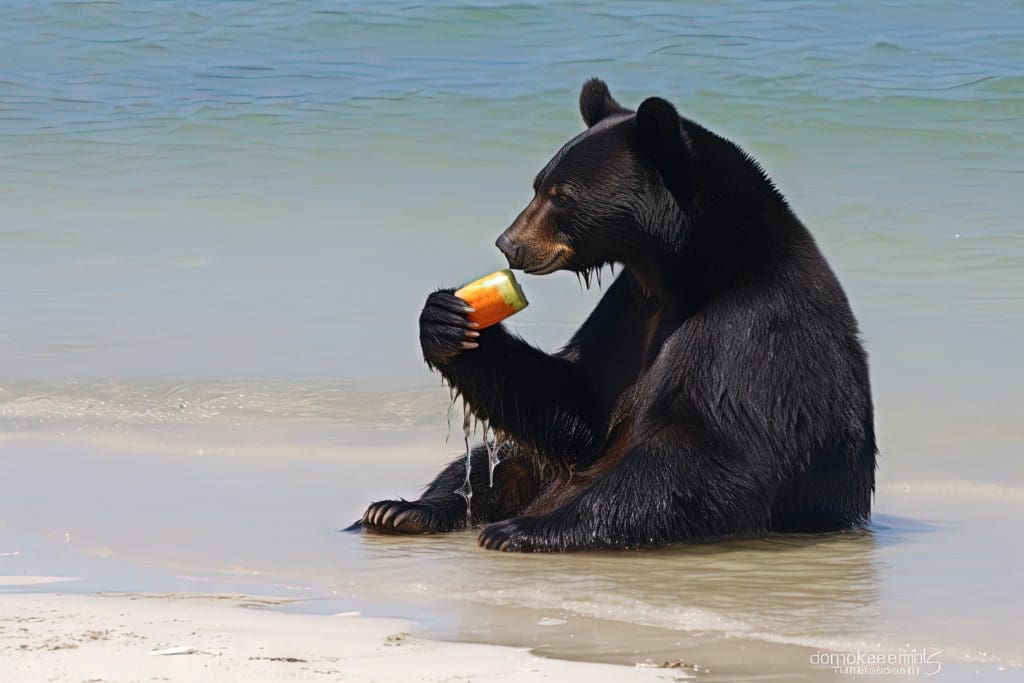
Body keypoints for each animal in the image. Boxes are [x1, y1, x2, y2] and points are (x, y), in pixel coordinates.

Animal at [356, 78, 876, 548]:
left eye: (563, 195)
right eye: (538, 184)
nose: (509, 244)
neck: (683, 272)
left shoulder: (751, 327)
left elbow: (712, 451)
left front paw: (525, 529)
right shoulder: (628, 309)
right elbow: (582, 403)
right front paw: (446, 321)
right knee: (496, 459)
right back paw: (402, 509)